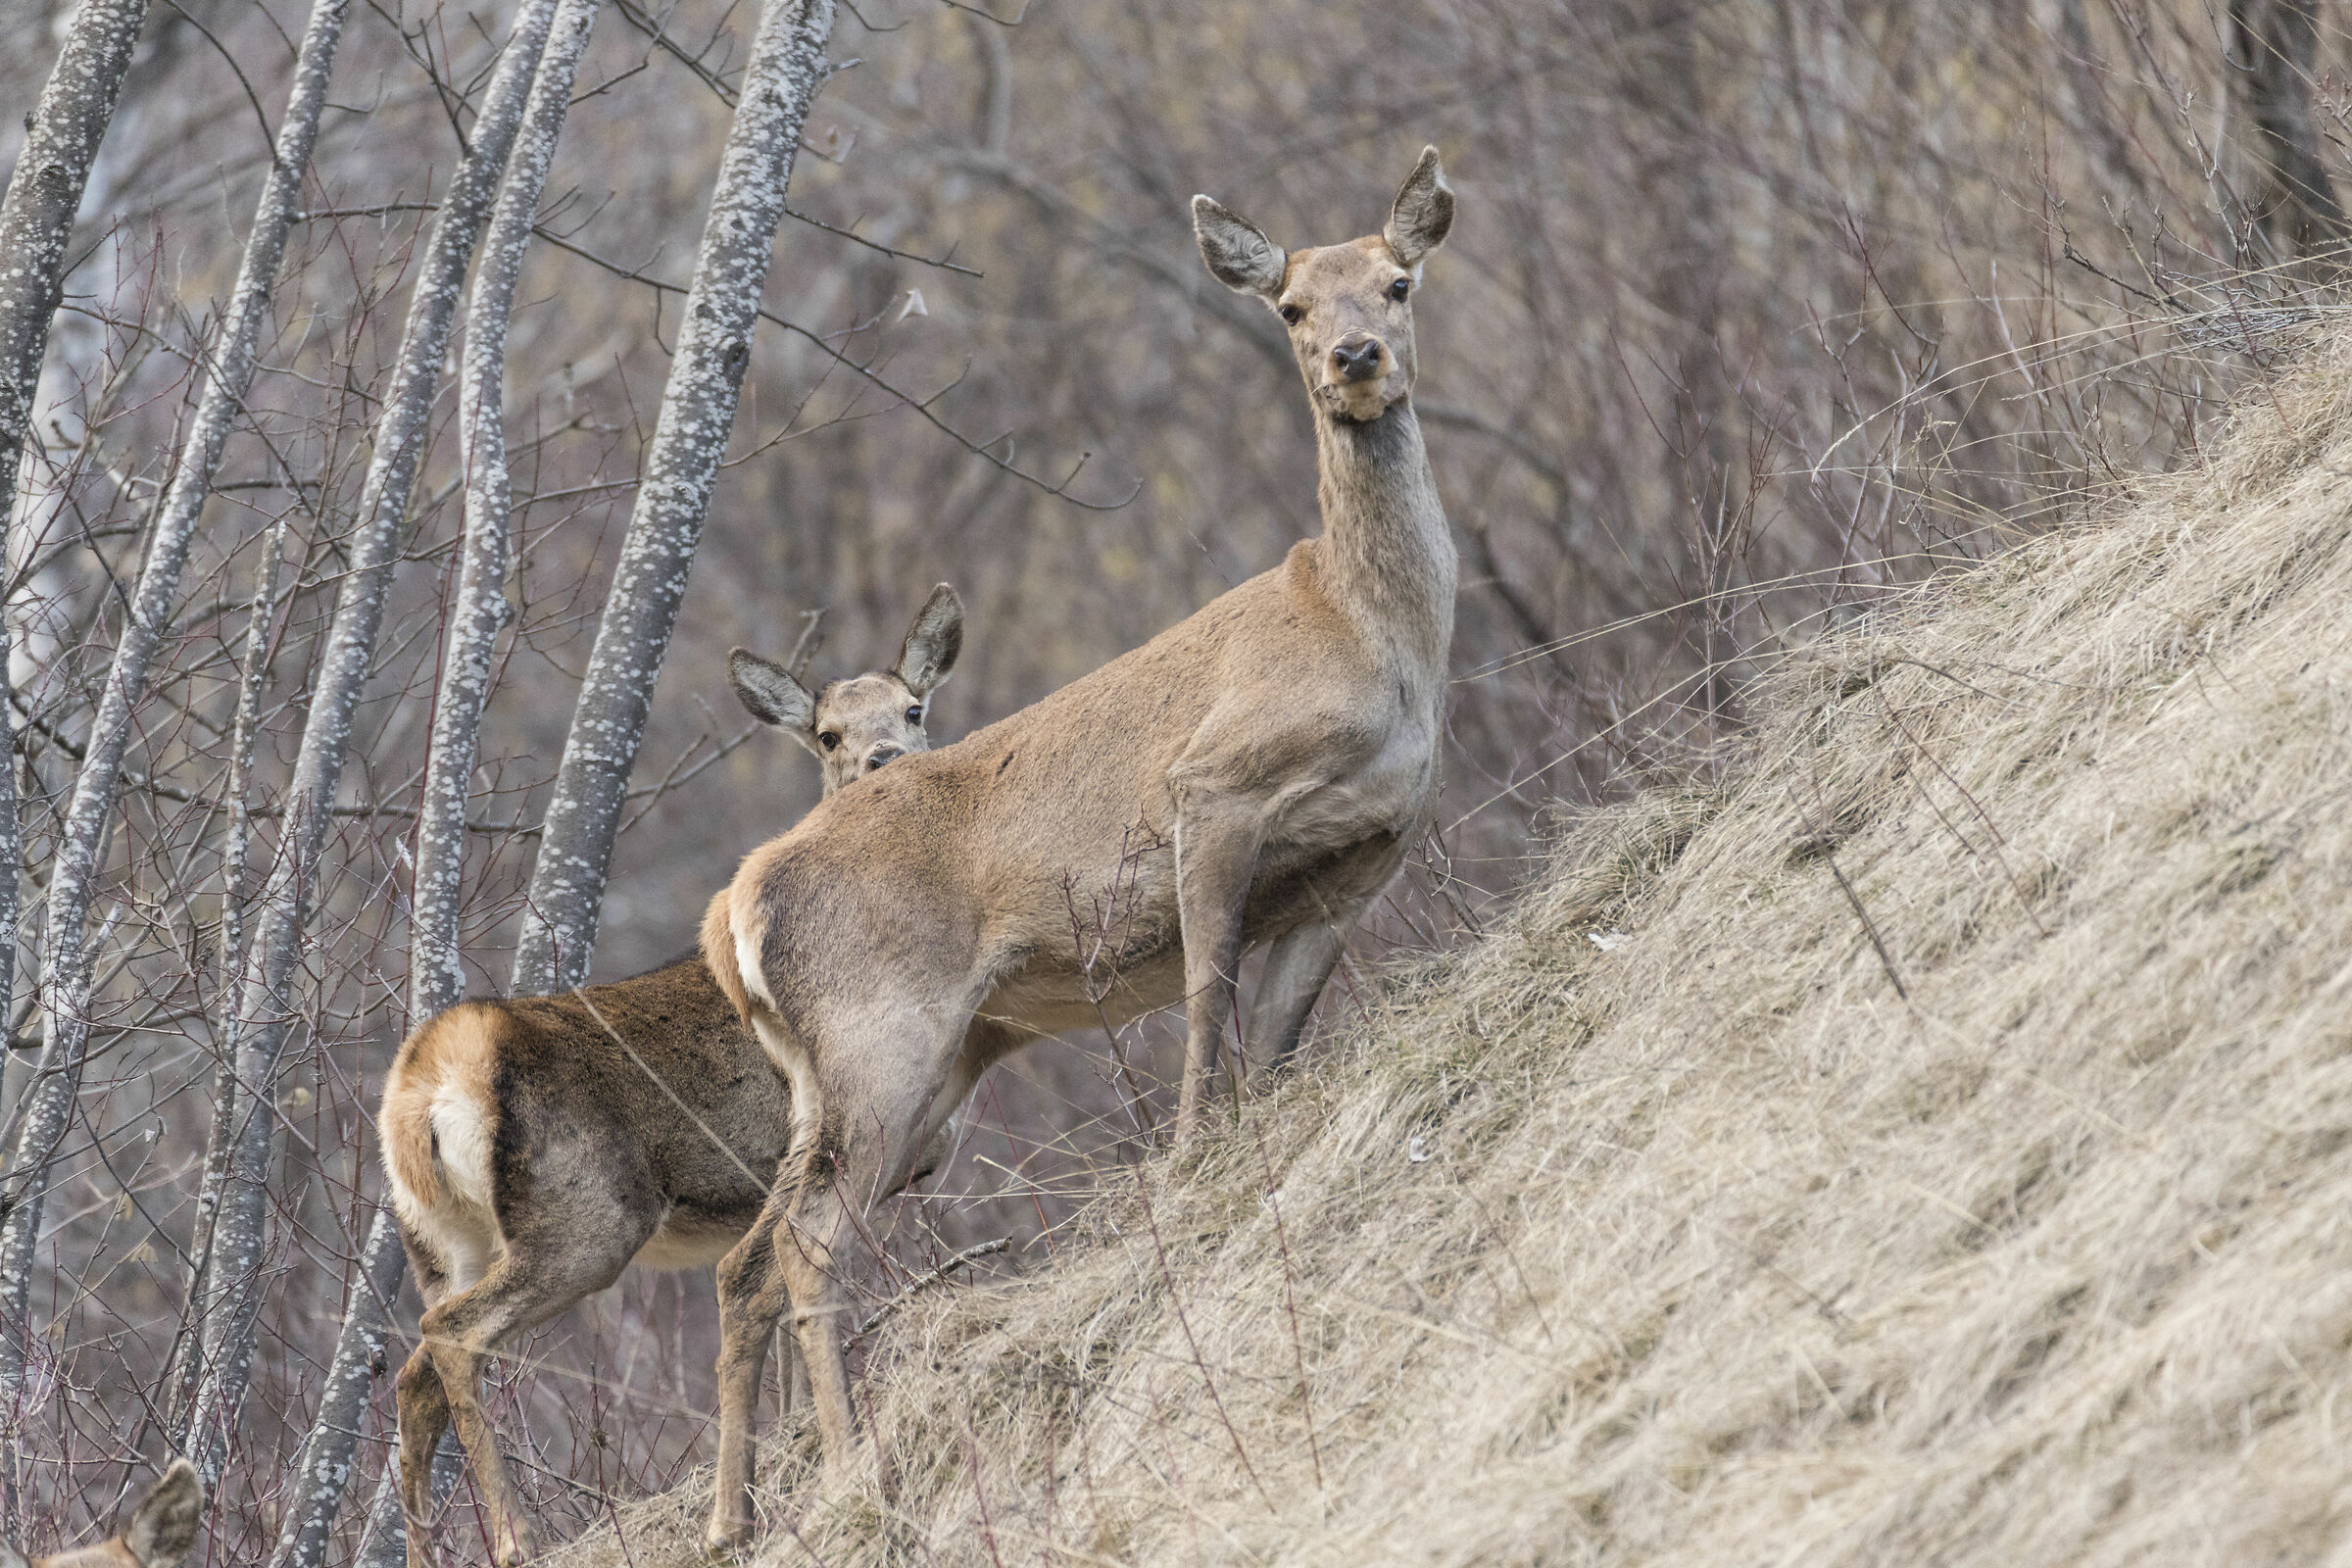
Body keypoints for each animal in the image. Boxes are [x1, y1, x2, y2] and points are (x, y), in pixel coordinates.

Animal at [379, 587, 964, 1568]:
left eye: (914, 708)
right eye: (828, 735)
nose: (887, 757)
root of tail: (429, 1080)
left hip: (440, 1242)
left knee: (412, 1372)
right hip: (585, 1216)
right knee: (451, 1342)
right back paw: (516, 1537)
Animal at [697, 148, 1458, 1548]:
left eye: (1396, 278)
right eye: (1288, 307)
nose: (1357, 358)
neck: (1372, 635)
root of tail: (735, 911)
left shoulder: (1357, 867)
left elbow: (1278, 1037)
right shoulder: (1210, 790)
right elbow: (1206, 1000)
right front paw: (1191, 1159)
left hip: (887, 1076)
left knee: (743, 1258)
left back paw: (738, 1515)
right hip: (884, 1040)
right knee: (808, 1245)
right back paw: (849, 1474)